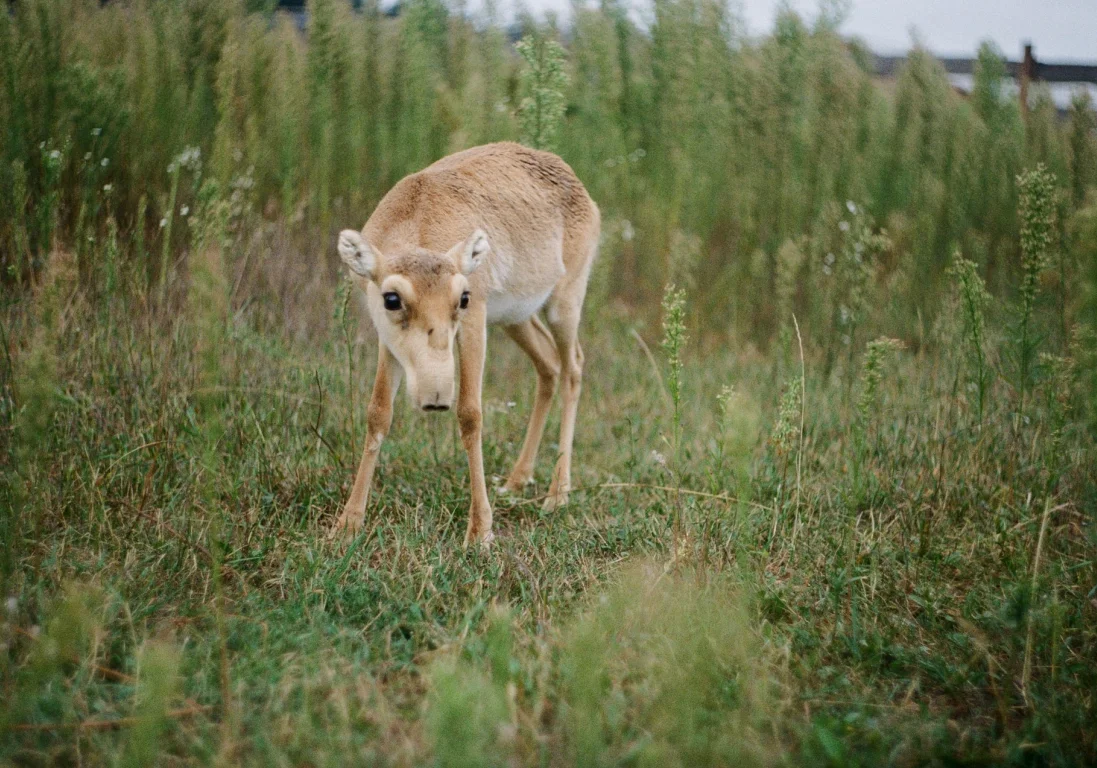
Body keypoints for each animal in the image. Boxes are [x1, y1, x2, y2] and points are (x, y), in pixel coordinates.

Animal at [331, 139, 601, 546]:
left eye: (463, 298)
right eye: (391, 298)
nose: (434, 396)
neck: (417, 219)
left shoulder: (474, 324)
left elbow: (470, 413)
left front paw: (480, 531)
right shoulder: (387, 340)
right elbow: (378, 413)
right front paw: (347, 524)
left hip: (563, 303)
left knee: (574, 368)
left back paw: (557, 494)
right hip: (515, 318)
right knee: (549, 366)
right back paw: (516, 480)